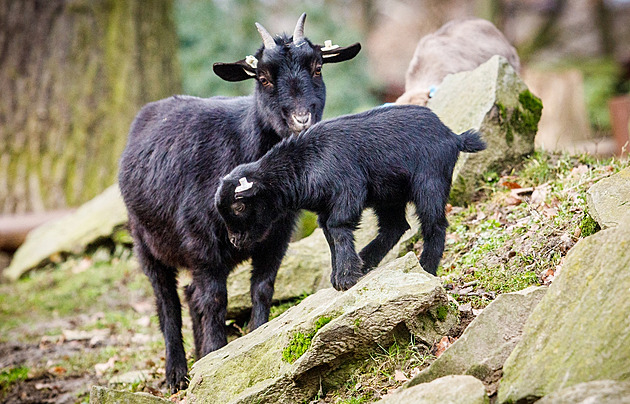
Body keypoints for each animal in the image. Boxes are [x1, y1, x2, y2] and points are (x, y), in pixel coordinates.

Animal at [117, 13, 360, 392]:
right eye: (263, 78)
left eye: (318, 67)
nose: (301, 120)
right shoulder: (202, 245)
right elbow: (216, 302)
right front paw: (217, 355)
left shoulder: (277, 238)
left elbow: (261, 289)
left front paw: (255, 338)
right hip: (144, 241)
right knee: (167, 302)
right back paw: (177, 374)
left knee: (190, 294)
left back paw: (198, 359)